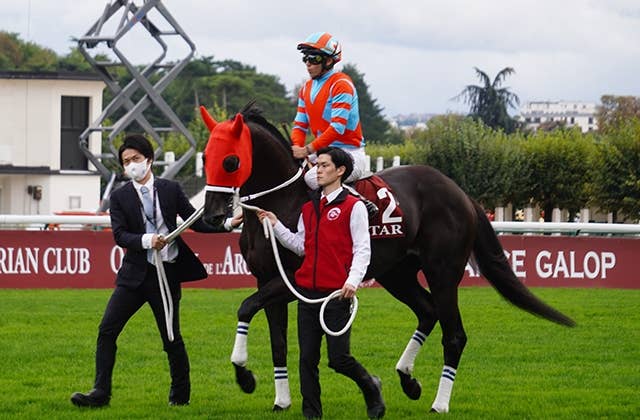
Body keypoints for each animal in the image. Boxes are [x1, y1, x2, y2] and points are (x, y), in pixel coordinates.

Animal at [196, 102, 576, 414]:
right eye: (205, 157)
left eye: (230, 161)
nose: (212, 216)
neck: (283, 202)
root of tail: (460, 192)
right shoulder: (267, 280)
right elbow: (276, 341)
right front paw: (280, 399)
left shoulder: (292, 283)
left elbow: (245, 306)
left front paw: (245, 375)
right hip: (397, 274)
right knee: (427, 311)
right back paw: (407, 379)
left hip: (443, 272)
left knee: (454, 334)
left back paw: (439, 403)